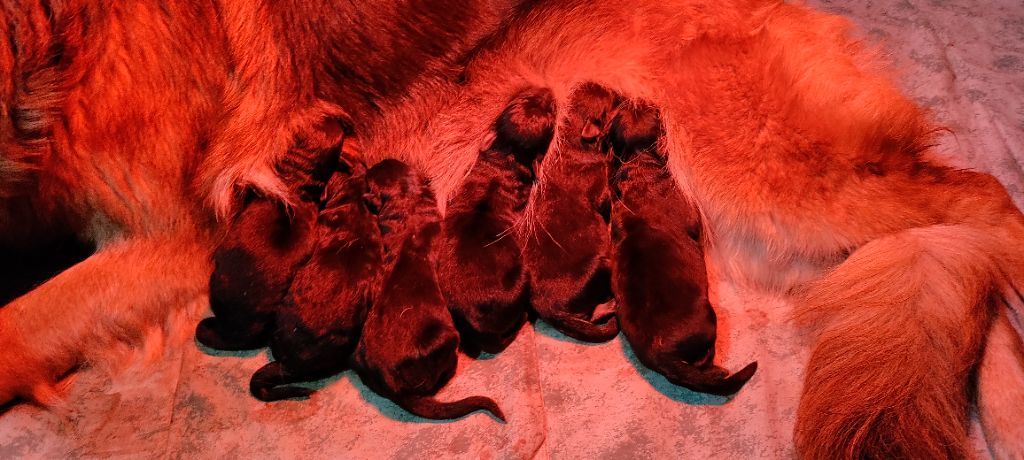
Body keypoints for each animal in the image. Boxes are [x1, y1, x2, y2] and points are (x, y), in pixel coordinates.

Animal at [523, 82, 619, 343]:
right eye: (612, 101)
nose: (620, 93)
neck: (570, 140)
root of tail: (551, 312)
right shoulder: (600, 189)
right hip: (602, 264)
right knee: (594, 313)